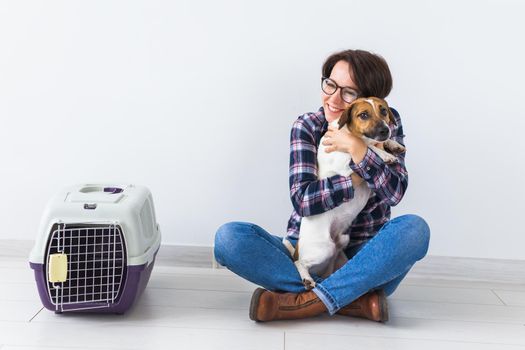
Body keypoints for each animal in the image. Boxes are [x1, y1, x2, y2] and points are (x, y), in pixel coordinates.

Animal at [282, 97, 406, 288]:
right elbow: (366, 148)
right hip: (323, 248)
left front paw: (393, 144)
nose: (385, 130)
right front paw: (385, 154)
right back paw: (307, 279)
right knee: (298, 263)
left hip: (342, 246)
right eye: (363, 115)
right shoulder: (344, 163)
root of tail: (298, 248)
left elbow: (375, 145)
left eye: (384, 110)